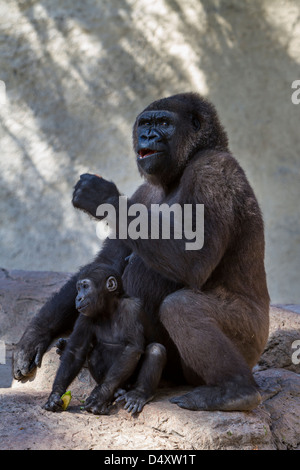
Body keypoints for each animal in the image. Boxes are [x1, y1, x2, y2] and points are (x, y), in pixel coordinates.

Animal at [43, 264, 166, 414]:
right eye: (78, 288)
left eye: (85, 286)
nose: (78, 297)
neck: (109, 309)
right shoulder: (84, 316)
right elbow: (76, 351)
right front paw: (55, 395)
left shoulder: (132, 308)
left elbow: (132, 348)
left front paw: (100, 396)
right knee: (94, 353)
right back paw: (117, 392)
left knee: (156, 349)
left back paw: (139, 394)